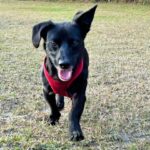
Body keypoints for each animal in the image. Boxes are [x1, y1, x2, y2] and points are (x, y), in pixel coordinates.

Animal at [32, 5, 96, 141]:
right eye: (53, 43)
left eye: (75, 42)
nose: (64, 64)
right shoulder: (47, 90)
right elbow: (52, 106)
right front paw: (54, 118)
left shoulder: (80, 94)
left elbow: (74, 113)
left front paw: (75, 131)